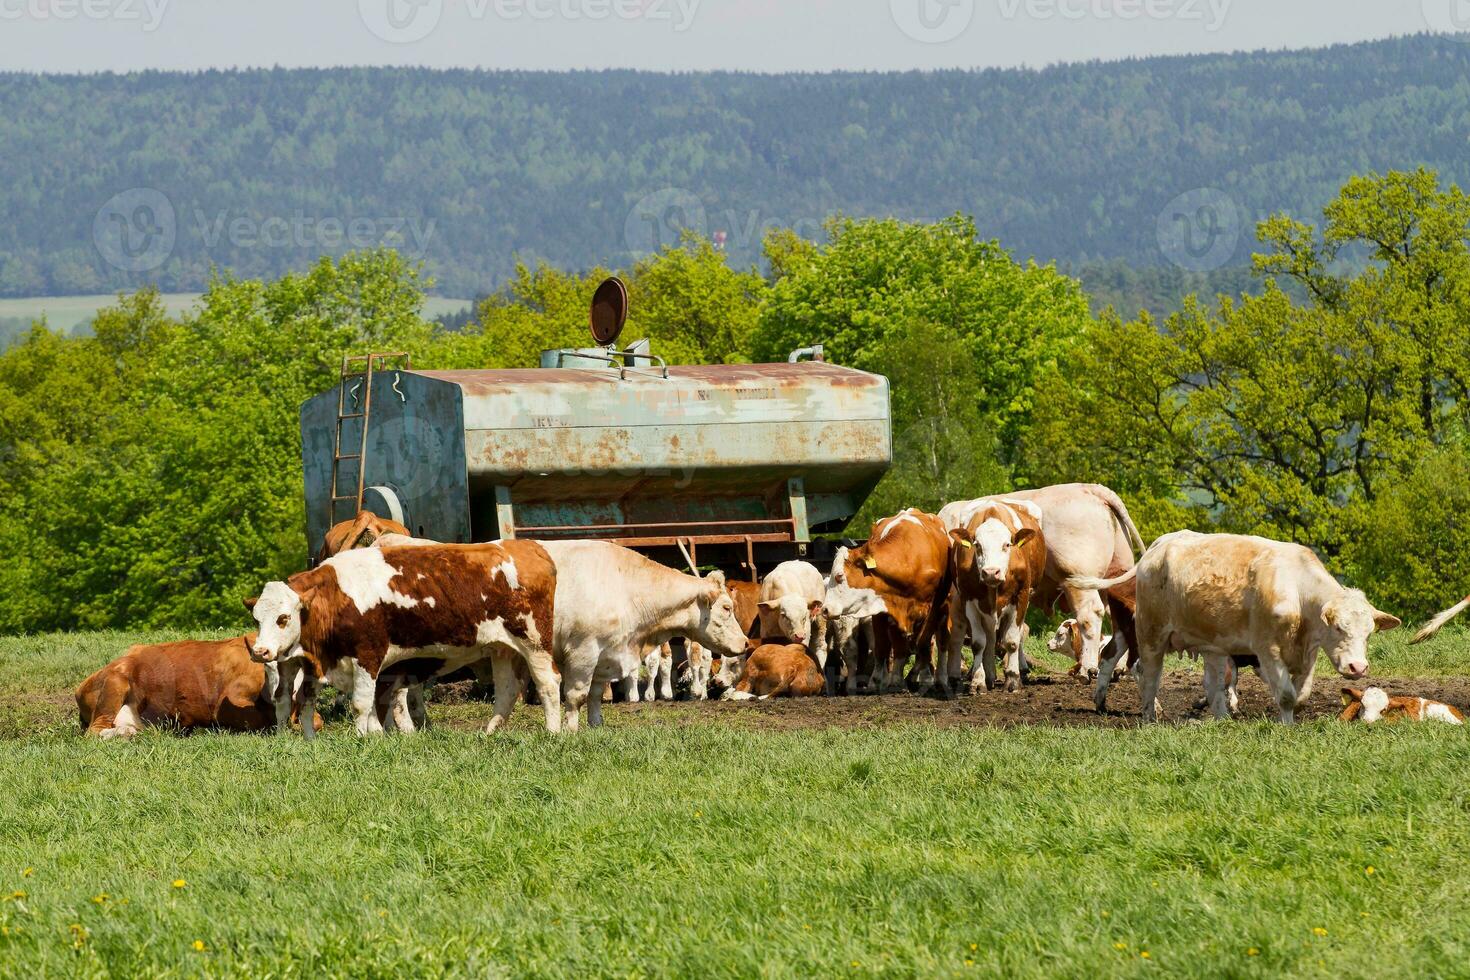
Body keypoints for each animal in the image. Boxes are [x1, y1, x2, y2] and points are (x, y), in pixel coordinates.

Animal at [76, 637, 317, 734]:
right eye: (269, 668)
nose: (279, 694)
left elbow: (316, 722)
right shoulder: (225, 707)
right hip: (115, 682)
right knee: (95, 731)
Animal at [246, 543, 555, 734]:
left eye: (283, 617)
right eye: (257, 619)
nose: (260, 651)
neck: (337, 596)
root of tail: (528, 548)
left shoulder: (368, 656)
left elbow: (361, 704)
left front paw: (361, 739)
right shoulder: (303, 662)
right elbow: (292, 701)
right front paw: (294, 739)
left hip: (535, 644)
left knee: (548, 685)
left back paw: (553, 733)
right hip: (502, 648)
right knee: (506, 690)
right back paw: (490, 733)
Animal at [823, 511, 946, 693]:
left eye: (839, 576)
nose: (824, 609)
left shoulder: (932, 608)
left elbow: (923, 643)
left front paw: (926, 679)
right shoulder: (883, 609)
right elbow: (883, 647)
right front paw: (880, 682)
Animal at [940, 499, 1046, 696]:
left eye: (1006, 545)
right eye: (978, 545)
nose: (990, 572)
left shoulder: (1021, 597)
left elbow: (1012, 641)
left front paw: (1013, 680)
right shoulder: (969, 599)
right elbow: (978, 643)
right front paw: (978, 681)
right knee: (984, 637)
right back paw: (985, 675)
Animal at [1076, 531, 1405, 725]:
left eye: (1368, 633)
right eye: (1338, 627)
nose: (1358, 667)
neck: (1297, 591)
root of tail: (1161, 544)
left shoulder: (1308, 652)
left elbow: (1301, 694)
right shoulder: (1267, 650)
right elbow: (1285, 694)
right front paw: (1286, 727)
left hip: (1211, 644)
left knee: (1212, 683)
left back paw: (1222, 720)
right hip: (1150, 633)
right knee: (1148, 673)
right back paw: (1149, 717)